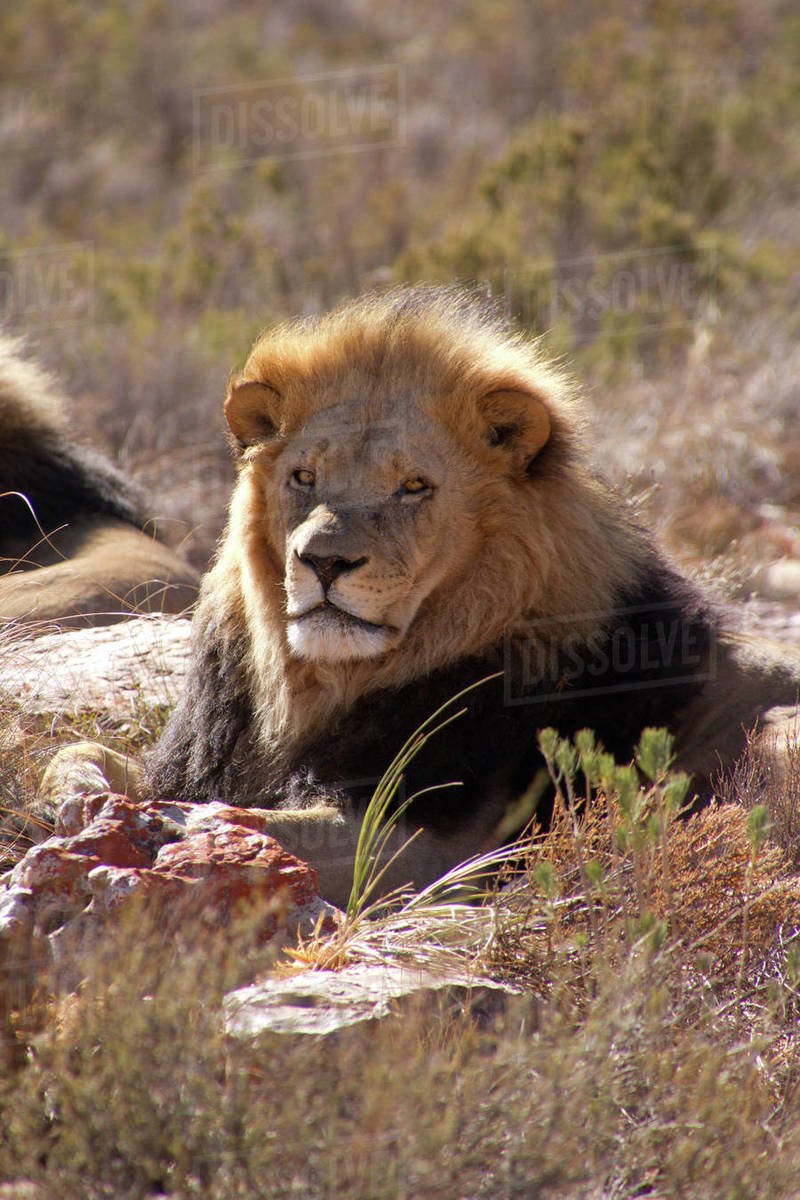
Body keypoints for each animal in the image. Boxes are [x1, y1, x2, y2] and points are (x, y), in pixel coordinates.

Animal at [42, 287, 800, 907]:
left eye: (413, 487)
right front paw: (87, 803)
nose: (323, 560)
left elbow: (270, 826)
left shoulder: (440, 844)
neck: (318, 684)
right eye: (304, 477)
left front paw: (178, 829)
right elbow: (82, 755)